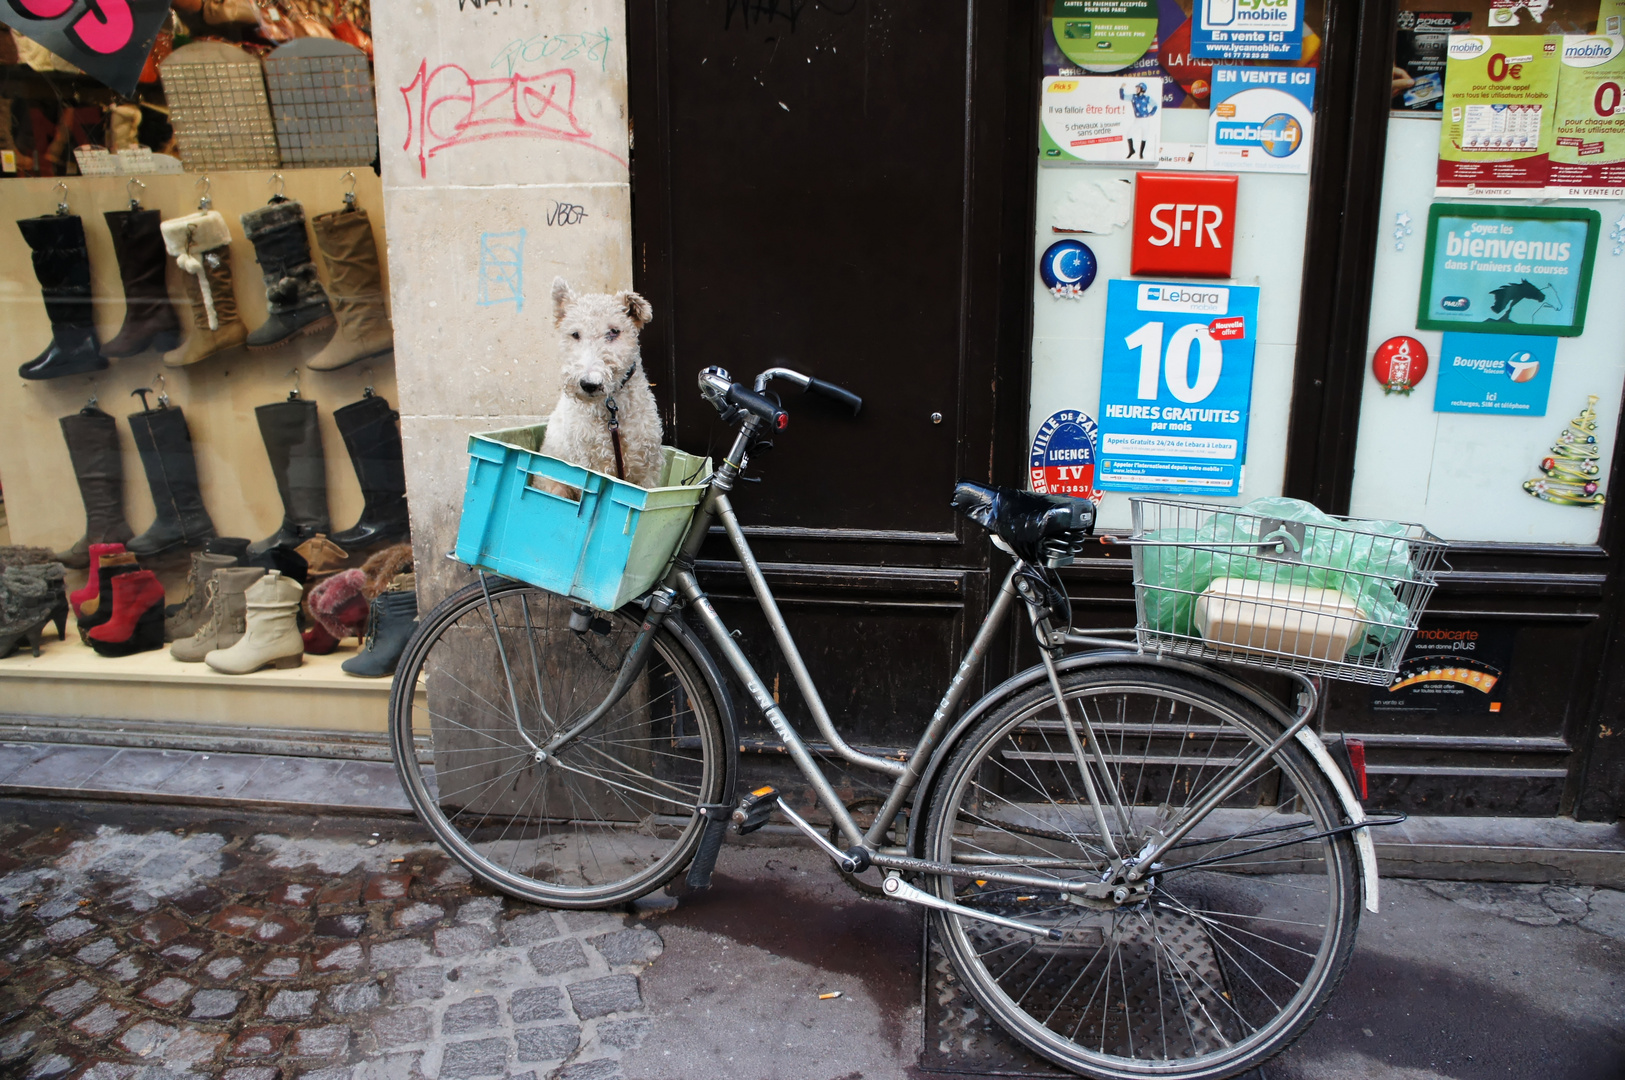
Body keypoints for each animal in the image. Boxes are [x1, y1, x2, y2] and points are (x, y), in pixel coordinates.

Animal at [533, 277, 659, 496]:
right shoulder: (590, 466)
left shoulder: (647, 472)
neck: (612, 410)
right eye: (575, 334)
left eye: (614, 331)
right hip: (555, 487)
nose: (589, 384)